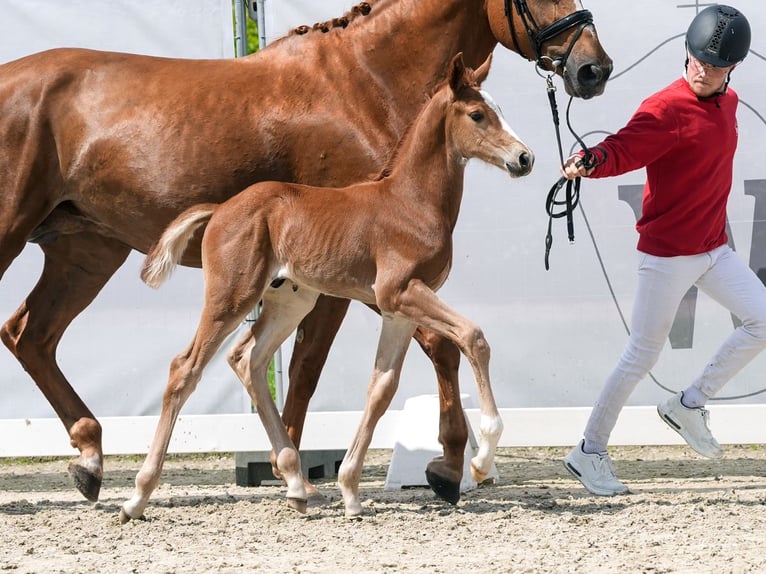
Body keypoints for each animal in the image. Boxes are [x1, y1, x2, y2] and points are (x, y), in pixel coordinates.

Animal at [124, 51, 536, 524]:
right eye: (478, 114)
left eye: (498, 109)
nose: (524, 158)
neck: (411, 202)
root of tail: (221, 208)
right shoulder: (400, 292)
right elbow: (474, 337)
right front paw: (481, 459)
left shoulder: (397, 311)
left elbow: (381, 388)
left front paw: (350, 491)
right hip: (231, 296)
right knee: (185, 369)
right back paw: (137, 497)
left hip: (290, 302)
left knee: (249, 359)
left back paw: (296, 483)